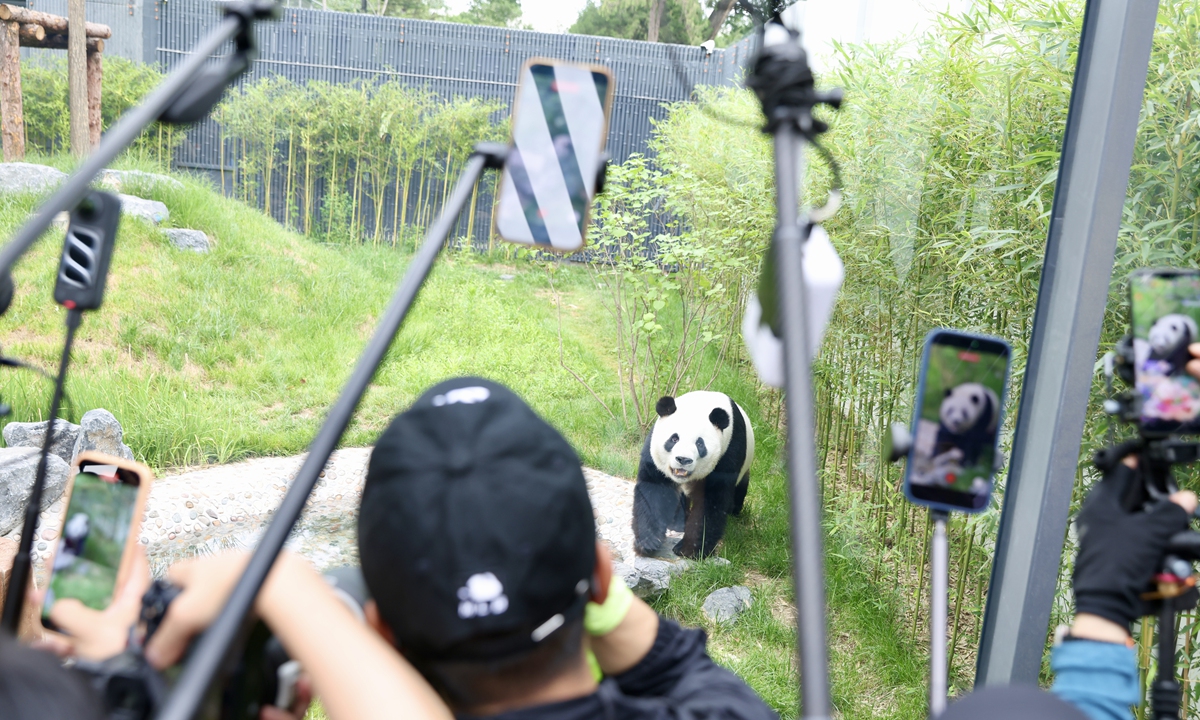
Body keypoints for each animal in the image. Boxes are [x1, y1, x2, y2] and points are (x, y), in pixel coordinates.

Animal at [632, 391, 755, 559]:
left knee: (739, 490)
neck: (702, 403)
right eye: (674, 438)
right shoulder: (653, 447)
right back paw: (677, 523)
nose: (683, 459)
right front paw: (649, 541)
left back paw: (734, 512)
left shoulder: (729, 450)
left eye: (700, 444)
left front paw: (690, 549)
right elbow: (654, 489)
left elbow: (712, 501)